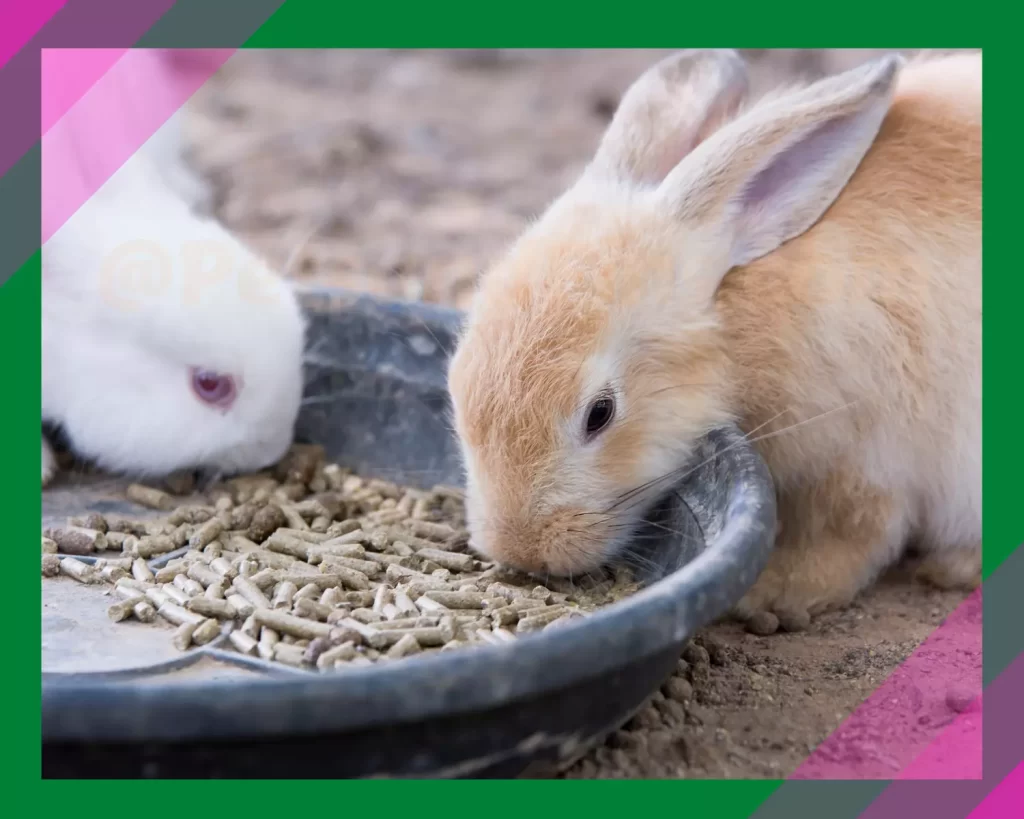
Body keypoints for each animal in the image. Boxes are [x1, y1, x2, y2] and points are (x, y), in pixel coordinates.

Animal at [448, 49, 983, 626]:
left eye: (600, 414)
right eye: (455, 385)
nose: (519, 549)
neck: (734, 323)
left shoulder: (868, 462)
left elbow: (852, 540)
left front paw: (769, 593)